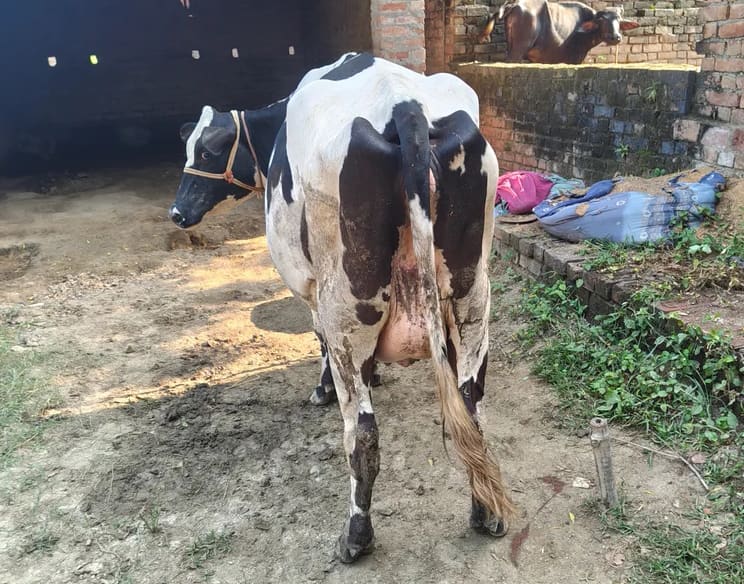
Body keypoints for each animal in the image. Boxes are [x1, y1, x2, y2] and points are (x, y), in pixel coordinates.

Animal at [169, 52, 515, 562]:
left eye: (207, 153)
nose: (176, 214)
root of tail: (405, 105)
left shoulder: (314, 290)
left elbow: (317, 341)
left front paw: (322, 388)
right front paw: (377, 376)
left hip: (347, 311)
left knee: (363, 434)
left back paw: (355, 535)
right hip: (473, 301)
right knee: (471, 412)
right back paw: (485, 512)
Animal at [479, 0, 639, 64]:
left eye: (618, 20)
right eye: (601, 20)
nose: (615, 37)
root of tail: (514, 4)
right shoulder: (574, 59)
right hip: (519, 49)